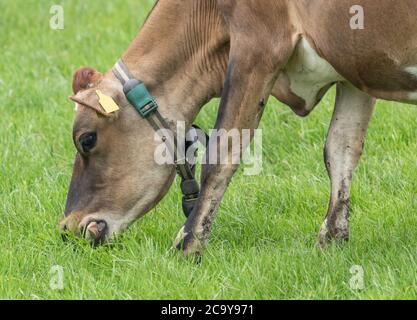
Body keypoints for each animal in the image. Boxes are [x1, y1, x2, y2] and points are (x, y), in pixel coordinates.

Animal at [59, 0, 417, 255]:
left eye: (86, 139)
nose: (67, 228)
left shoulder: (257, 43)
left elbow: (221, 155)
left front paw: (186, 246)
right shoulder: (355, 67)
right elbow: (341, 148)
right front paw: (331, 240)